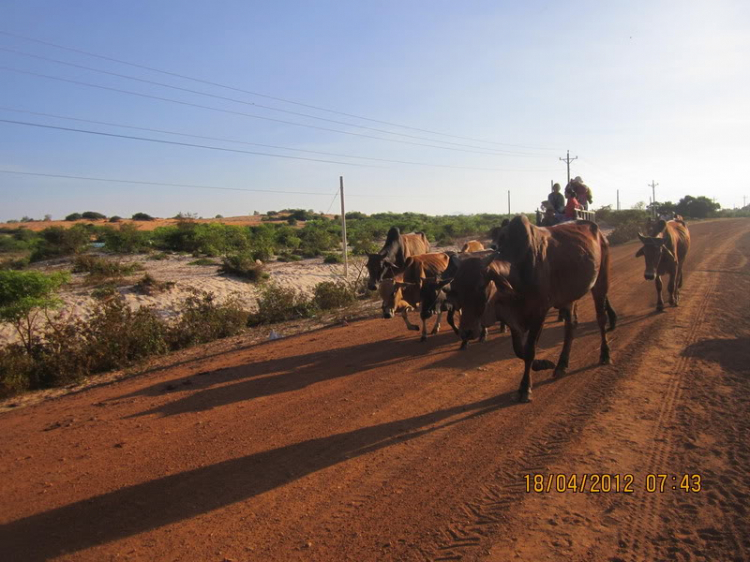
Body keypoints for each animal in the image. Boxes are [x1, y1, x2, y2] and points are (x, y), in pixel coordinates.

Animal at [450, 214, 620, 402]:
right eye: (456, 287)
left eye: (481, 285)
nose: (466, 332)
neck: (518, 272)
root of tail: (598, 230)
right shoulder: (513, 318)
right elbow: (520, 351)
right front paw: (542, 364)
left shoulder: (539, 313)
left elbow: (530, 350)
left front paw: (525, 388)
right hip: (569, 297)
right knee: (570, 326)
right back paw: (561, 365)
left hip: (600, 282)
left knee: (601, 319)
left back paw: (605, 354)